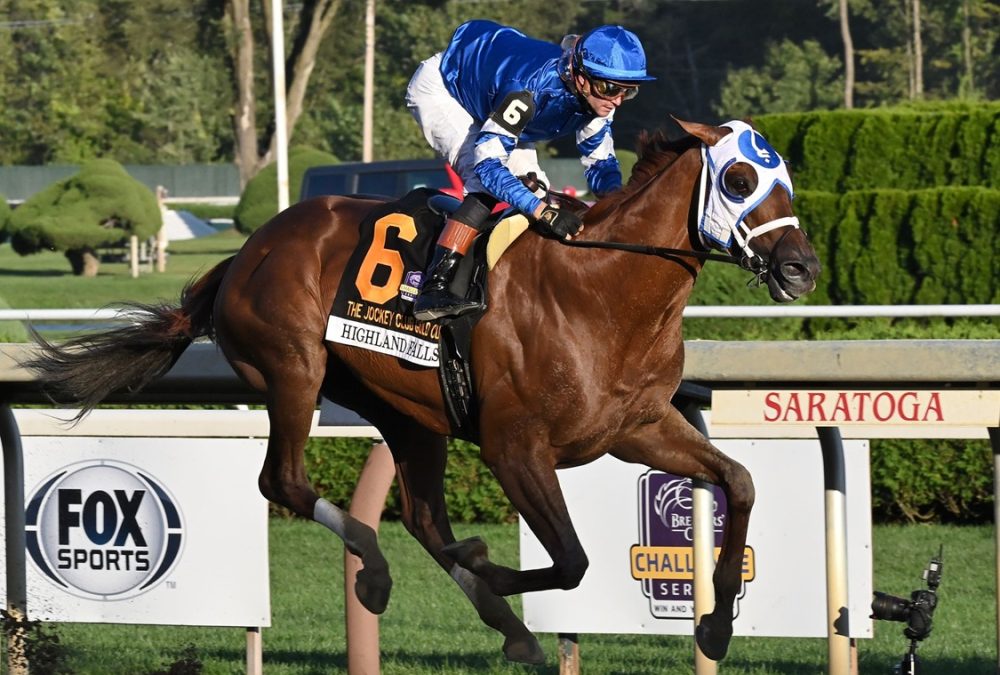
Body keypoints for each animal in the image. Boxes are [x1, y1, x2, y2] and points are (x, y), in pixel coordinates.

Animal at [27, 120, 820, 664]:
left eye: (784, 181)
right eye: (740, 179)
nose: (802, 267)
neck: (600, 287)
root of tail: (247, 249)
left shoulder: (637, 427)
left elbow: (739, 481)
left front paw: (716, 623)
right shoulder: (513, 444)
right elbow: (571, 560)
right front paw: (490, 566)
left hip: (407, 412)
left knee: (421, 515)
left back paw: (490, 620)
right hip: (294, 371)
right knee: (284, 481)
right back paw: (384, 574)